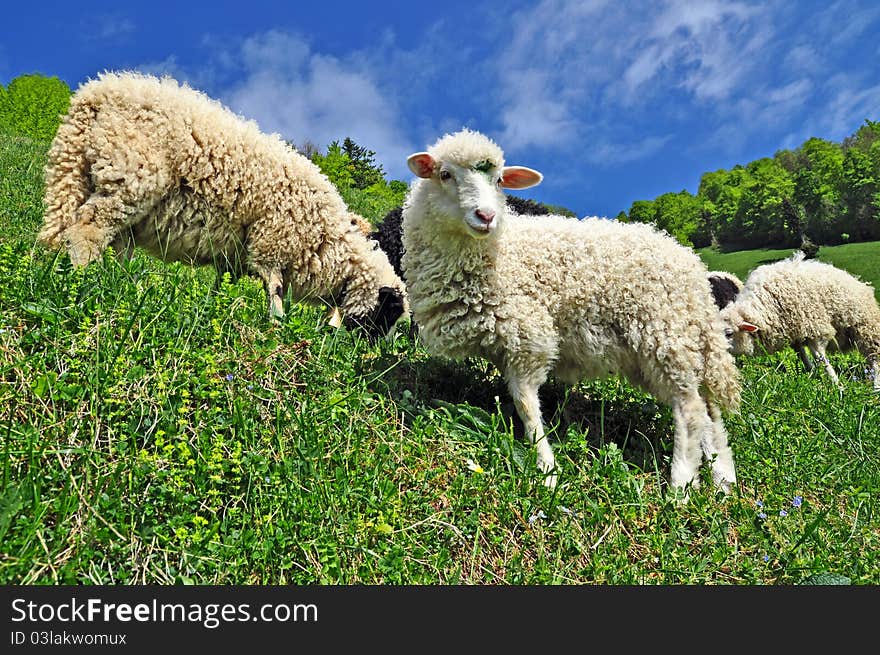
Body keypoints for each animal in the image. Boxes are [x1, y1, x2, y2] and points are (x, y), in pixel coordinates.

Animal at [34, 71, 406, 340]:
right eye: (387, 313)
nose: (373, 351)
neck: (325, 245)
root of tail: (94, 94)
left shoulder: (234, 257)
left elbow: (223, 284)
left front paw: (217, 308)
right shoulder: (272, 241)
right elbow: (274, 289)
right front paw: (276, 325)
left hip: (97, 182)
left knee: (112, 242)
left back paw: (119, 285)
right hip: (131, 177)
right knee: (87, 229)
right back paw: (85, 279)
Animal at [402, 131, 740, 494]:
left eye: (500, 180)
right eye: (445, 175)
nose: (487, 216)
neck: (495, 253)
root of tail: (694, 270)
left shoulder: (529, 334)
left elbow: (526, 404)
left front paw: (546, 469)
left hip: (664, 333)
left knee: (690, 409)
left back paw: (680, 486)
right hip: (674, 344)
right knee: (710, 411)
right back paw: (723, 480)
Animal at [716, 254, 880, 390]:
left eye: (729, 333)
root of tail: (860, 283)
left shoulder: (815, 328)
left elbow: (821, 358)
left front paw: (836, 385)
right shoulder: (794, 333)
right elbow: (801, 354)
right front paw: (811, 372)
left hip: (866, 327)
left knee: (874, 357)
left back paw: (875, 386)